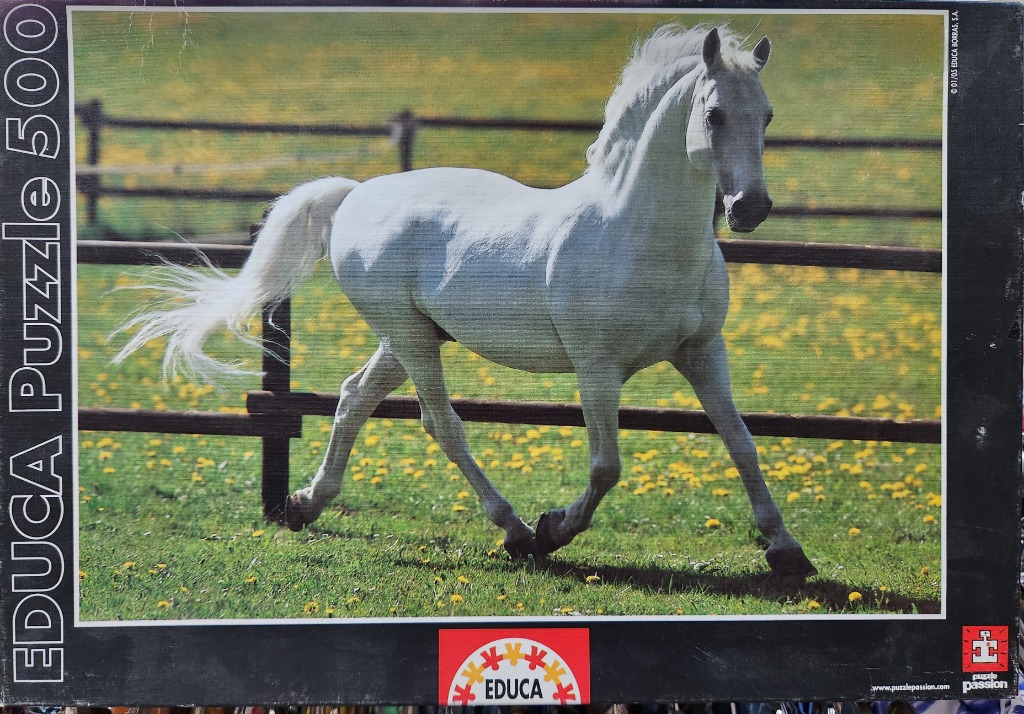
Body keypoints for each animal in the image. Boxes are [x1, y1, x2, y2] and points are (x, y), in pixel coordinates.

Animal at [115, 25, 817, 578]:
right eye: (715, 113)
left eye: (768, 115)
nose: (750, 208)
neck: (638, 234)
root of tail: (356, 194)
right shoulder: (597, 370)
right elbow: (605, 467)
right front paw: (553, 529)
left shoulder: (702, 353)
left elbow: (742, 443)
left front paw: (787, 553)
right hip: (410, 338)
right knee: (442, 425)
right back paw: (514, 530)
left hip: (409, 336)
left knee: (353, 398)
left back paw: (304, 506)